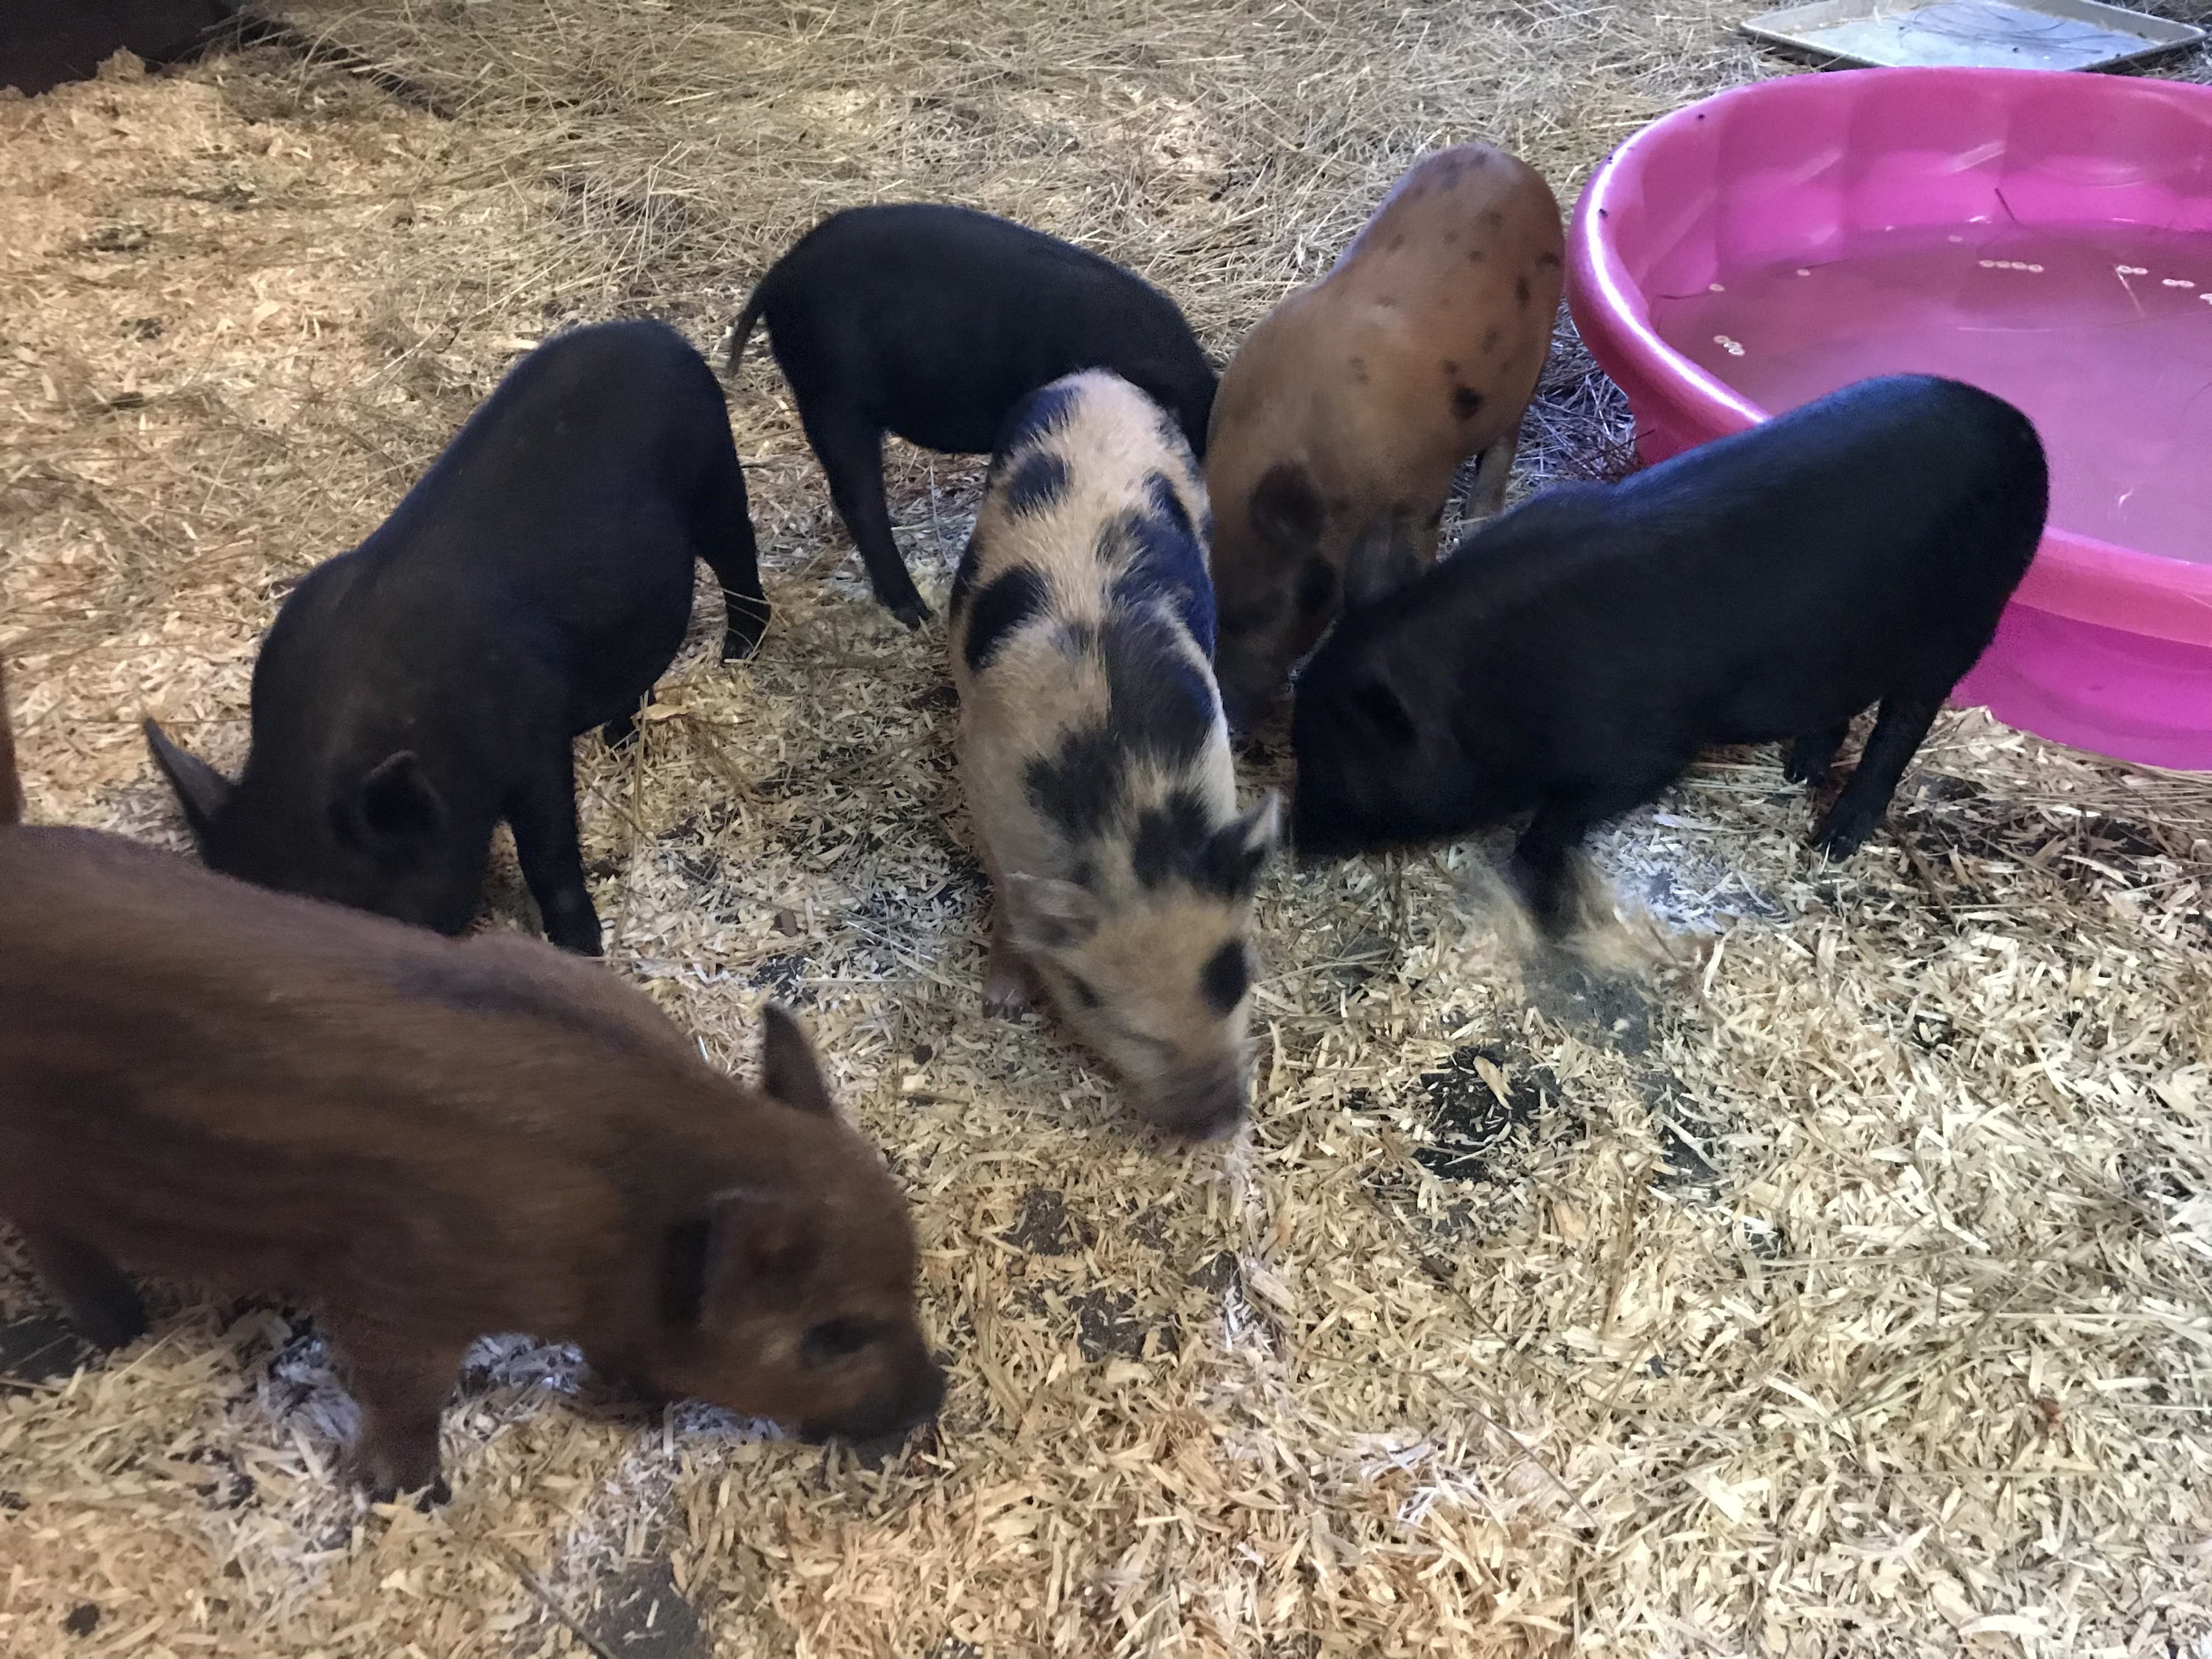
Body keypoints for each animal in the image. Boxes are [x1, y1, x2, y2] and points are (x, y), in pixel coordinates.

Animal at [0, 660, 941, 1501]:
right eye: (835, 1335)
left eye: (912, 1280)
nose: (934, 1399)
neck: (627, 1210)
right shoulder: (393, 1290)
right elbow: (404, 1391)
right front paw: (410, 1495)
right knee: (60, 1245)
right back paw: (121, 1331)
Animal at [144, 319, 767, 957]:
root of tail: (655, 331)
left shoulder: (535, 737)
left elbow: (549, 851)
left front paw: (581, 948)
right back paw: (621, 741)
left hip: (718, 477)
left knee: (739, 561)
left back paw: (739, 652)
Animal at [947, 370, 1277, 1138]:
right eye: (1128, 1028)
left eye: (1237, 982)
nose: (1222, 1121)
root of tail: (1094, 378)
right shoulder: (985, 781)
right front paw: (1001, 1001)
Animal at [1205, 144, 1565, 725]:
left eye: (1265, 606)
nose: (1230, 716)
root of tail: (1508, 160)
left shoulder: (1421, 490)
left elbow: (1394, 573)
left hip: (1537, 348)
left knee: (1507, 433)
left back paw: (1482, 514)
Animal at [1290, 374, 2050, 929]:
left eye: (1338, 760)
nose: (1296, 842)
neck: (1487, 682)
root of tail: (2021, 430)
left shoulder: (1645, 756)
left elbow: (1559, 821)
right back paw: (1798, 769)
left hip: (1966, 622)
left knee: (1904, 722)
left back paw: (1835, 839)